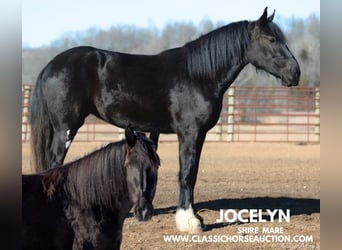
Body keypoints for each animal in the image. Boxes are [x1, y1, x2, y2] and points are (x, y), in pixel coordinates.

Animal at [30, 7, 300, 233]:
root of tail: (51, 65)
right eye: (271, 39)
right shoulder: (189, 133)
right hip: (66, 129)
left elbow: (192, 172)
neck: (198, 76)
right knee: (54, 164)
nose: (295, 73)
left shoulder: (199, 135)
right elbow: (187, 173)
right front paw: (189, 221)